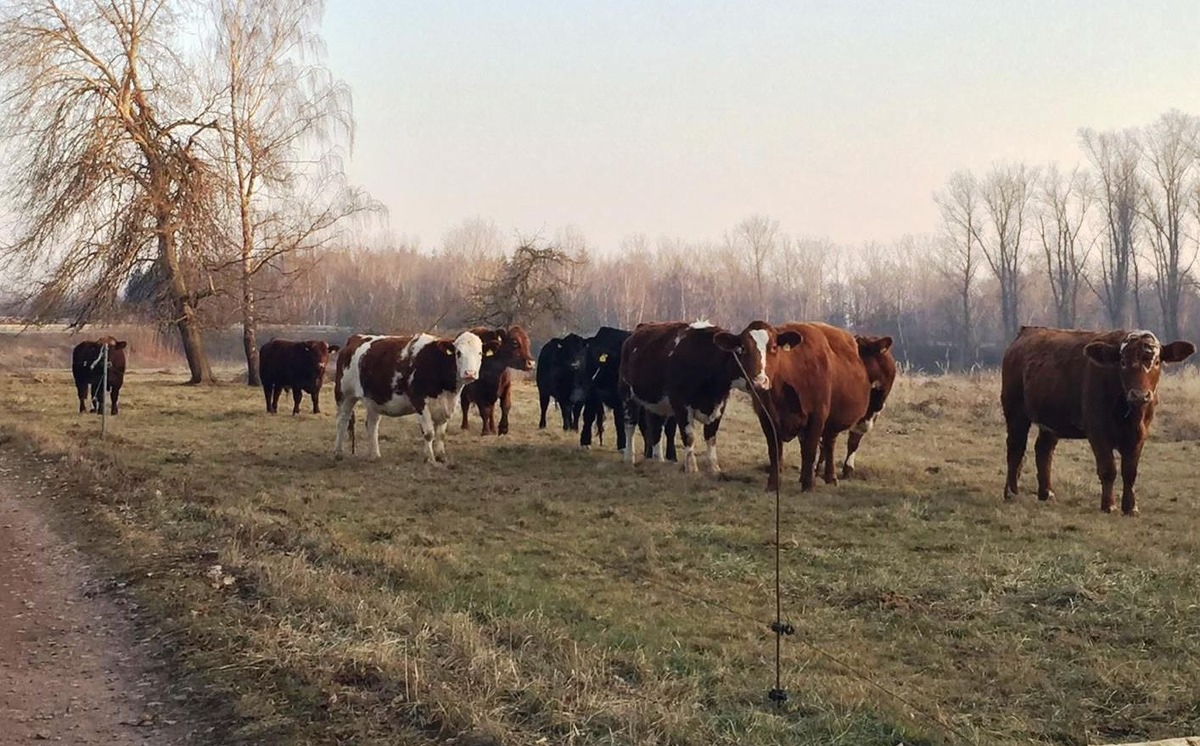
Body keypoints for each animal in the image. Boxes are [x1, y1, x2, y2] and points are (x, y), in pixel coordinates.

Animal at [333, 331, 487, 465]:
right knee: (343, 421)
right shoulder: (420, 402)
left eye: (480, 353)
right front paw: (429, 459)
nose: (469, 373)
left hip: (374, 400)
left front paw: (441, 457)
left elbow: (441, 434)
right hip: (345, 394)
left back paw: (374, 455)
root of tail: (355, 338)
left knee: (372, 424)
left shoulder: (446, 405)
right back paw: (338, 453)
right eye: (458, 353)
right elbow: (429, 433)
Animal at [619, 319, 796, 472]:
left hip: (658, 403)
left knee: (656, 428)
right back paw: (629, 458)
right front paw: (691, 468)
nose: (759, 382)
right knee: (630, 426)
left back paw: (659, 461)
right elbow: (689, 436)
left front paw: (713, 467)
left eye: (773, 347)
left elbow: (711, 435)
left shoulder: (720, 403)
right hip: (627, 394)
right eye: (742, 348)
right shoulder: (680, 404)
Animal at [998, 326, 1195, 520]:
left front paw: (1131, 507)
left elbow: (1130, 472)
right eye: (1123, 362)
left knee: (1043, 450)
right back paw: (1012, 493)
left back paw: (1047, 493)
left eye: (1156, 362)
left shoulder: (1140, 435)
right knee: (1016, 448)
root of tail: (1027, 331)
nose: (1139, 395)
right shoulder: (1098, 432)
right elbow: (1108, 469)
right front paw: (1109, 505)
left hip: (1050, 421)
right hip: (1015, 412)